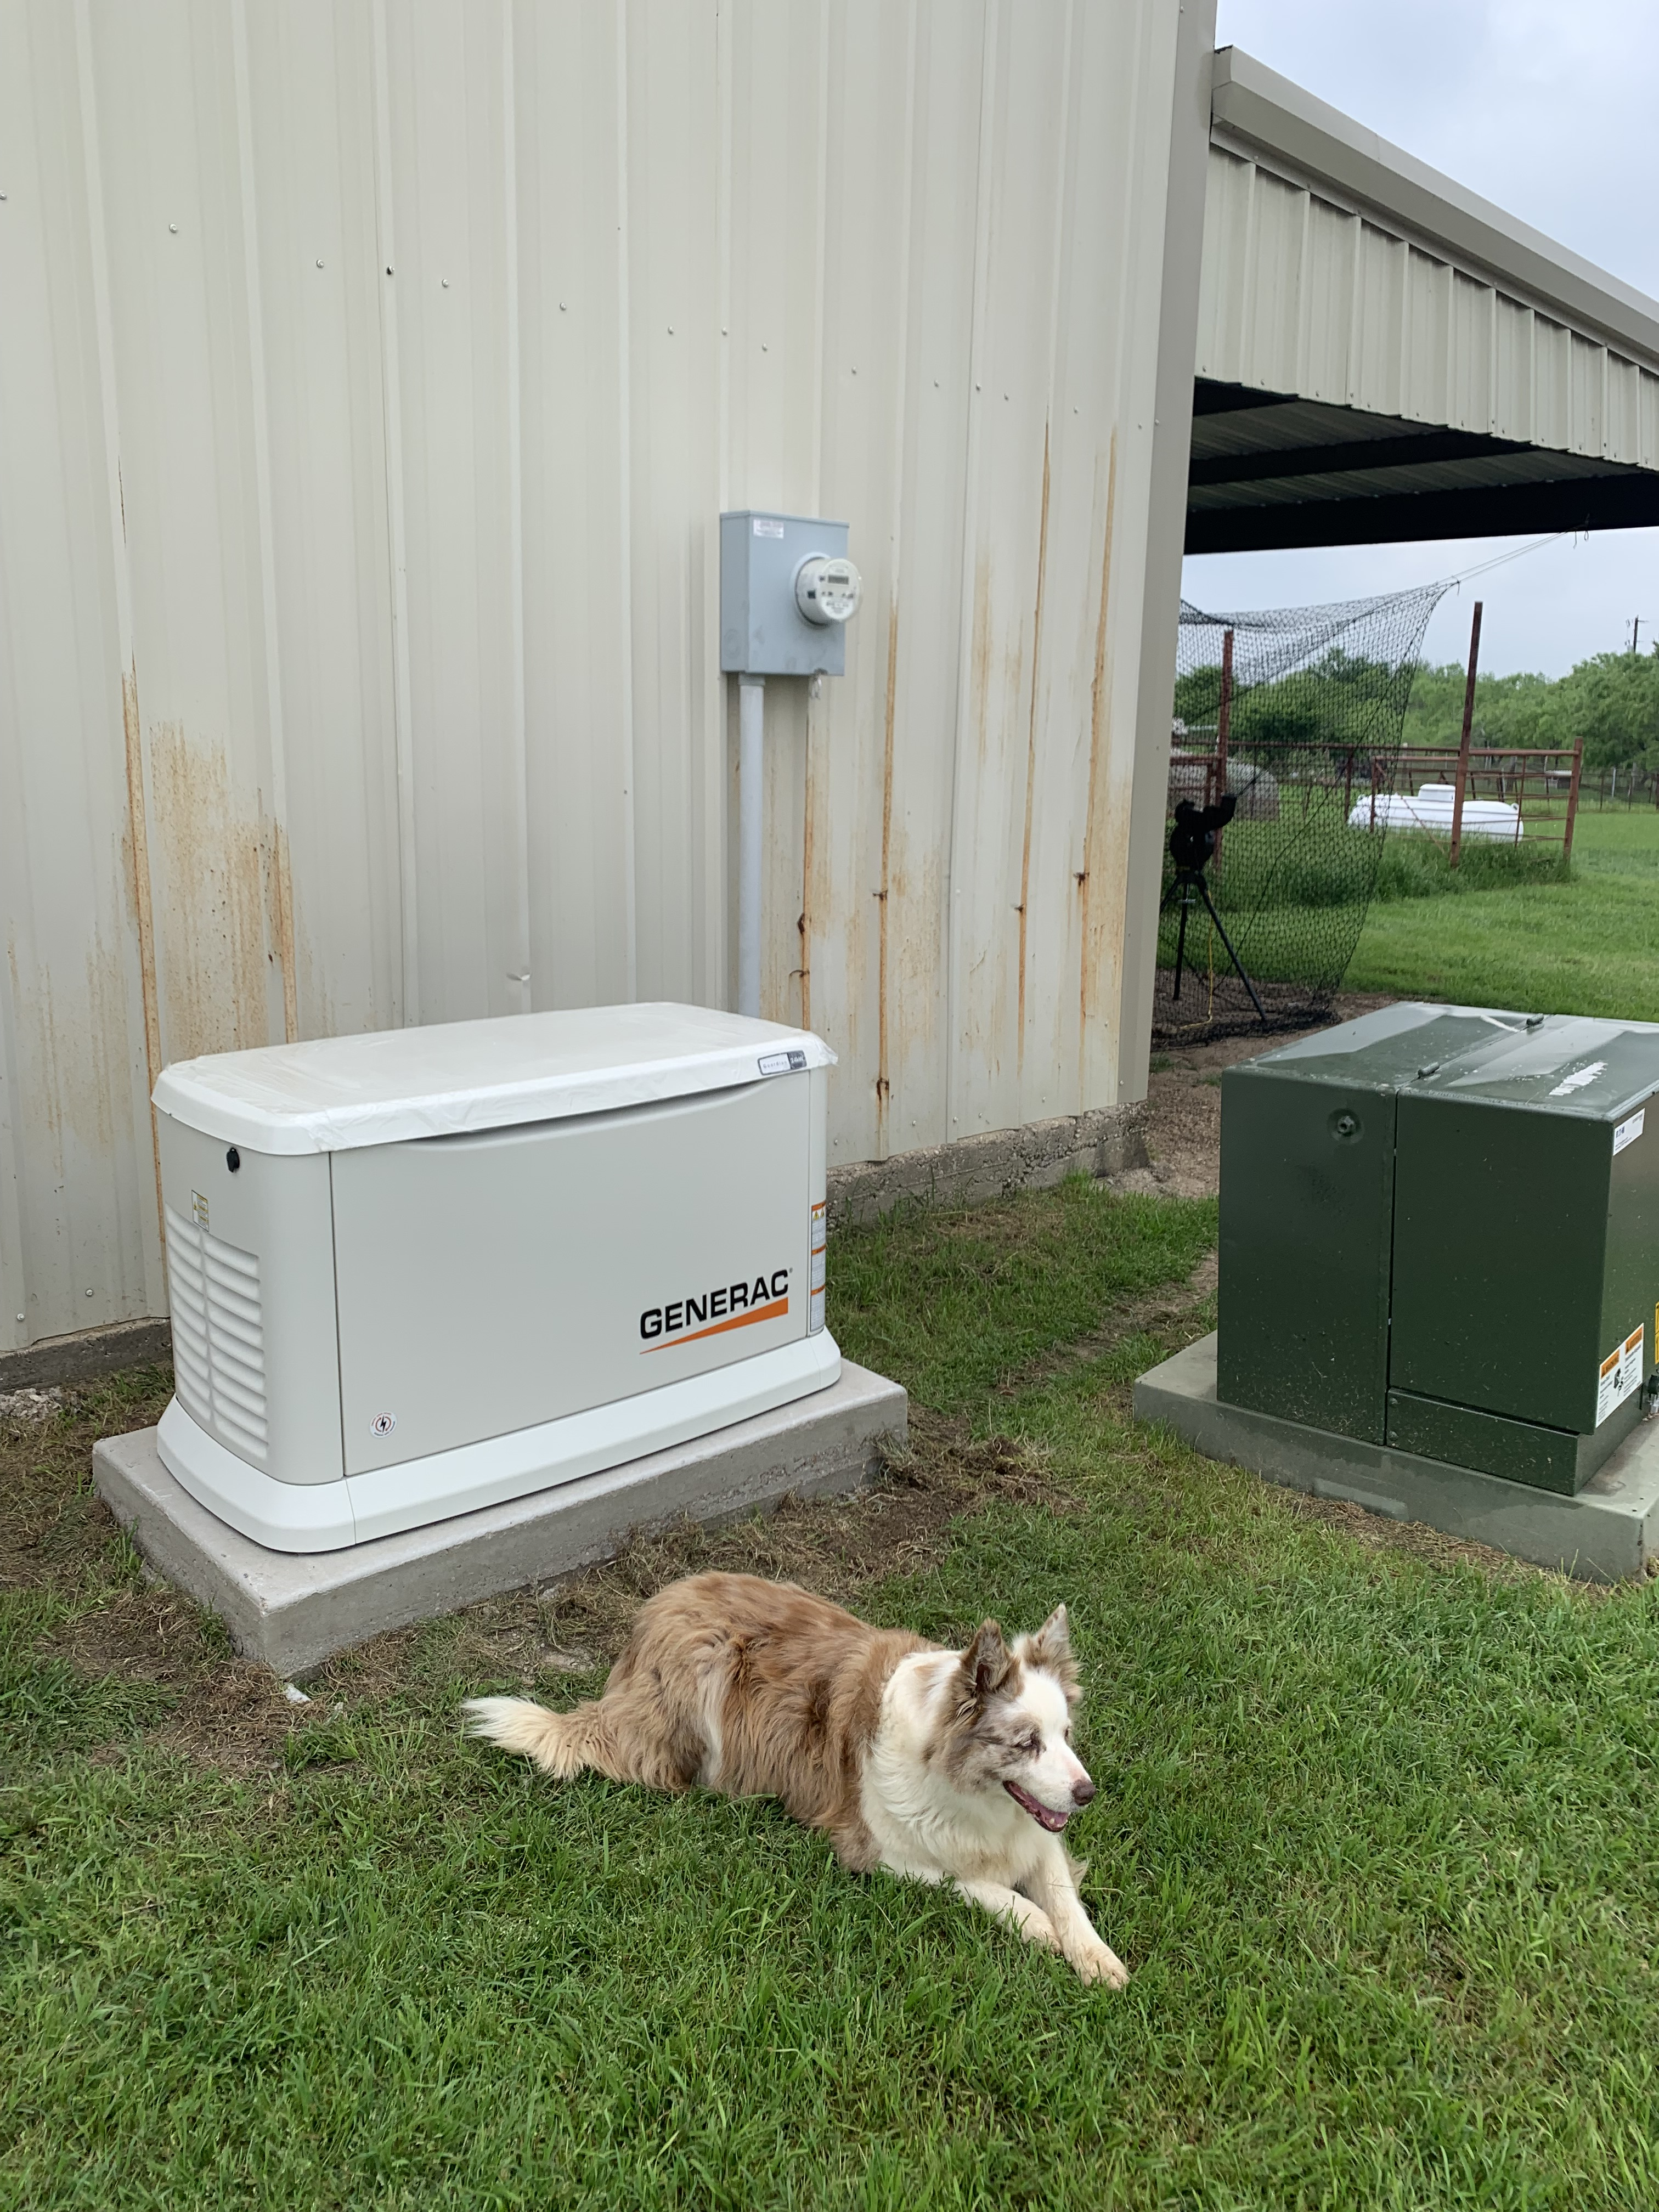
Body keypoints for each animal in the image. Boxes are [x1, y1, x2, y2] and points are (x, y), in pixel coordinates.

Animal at [464, 1575, 1132, 1990]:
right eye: (1026, 1742)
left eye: (1066, 1733)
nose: (1088, 1794)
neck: (970, 1796)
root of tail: (650, 1614)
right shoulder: (877, 1851)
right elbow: (979, 1887)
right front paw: (1037, 1927)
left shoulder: (1039, 1836)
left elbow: (1067, 1899)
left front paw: (1097, 1957)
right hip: (703, 1670)